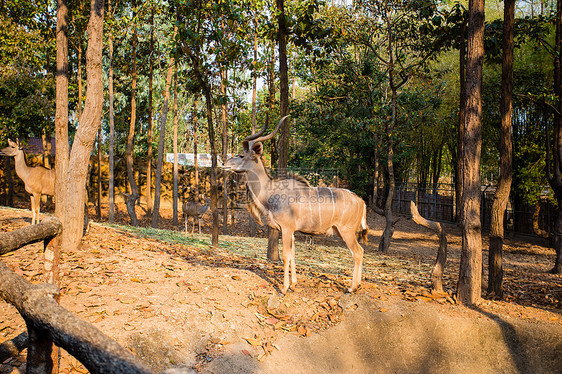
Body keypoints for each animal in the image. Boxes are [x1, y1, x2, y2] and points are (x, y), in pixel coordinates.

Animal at [221, 116, 370, 292]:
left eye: (242, 155)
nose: (224, 163)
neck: (270, 191)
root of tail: (361, 201)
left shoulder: (286, 228)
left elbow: (286, 256)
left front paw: (285, 287)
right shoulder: (291, 231)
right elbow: (293, 255)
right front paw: (293, 283)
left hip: (346, 231)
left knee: (357, 252)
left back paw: (352, 287)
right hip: (342, 231)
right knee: (361, 251)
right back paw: (357, 285)